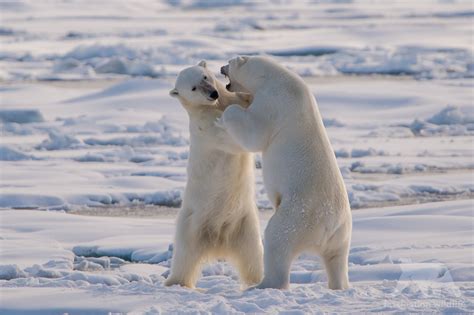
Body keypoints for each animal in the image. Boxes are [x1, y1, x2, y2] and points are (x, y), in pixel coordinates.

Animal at [166, 60, 262, 290]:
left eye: (205, 77)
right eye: (193, 88)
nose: (213, 93)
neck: (211, 107)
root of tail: (218, 241)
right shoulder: (208, 129)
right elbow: (234, 140)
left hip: (245, 226)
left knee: (252, 257)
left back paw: (257, 280)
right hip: (190, 226)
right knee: (184, 258)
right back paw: (175, 282)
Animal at [219, 55, 352, 290]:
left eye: (230, 62)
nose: (220, 67)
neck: (273, 77)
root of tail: (329, 226)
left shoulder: (274, 102)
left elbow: (255, 135)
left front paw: (228, 112)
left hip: (297, 215)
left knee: (277, 239)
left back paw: (263, 284)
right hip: (342, 235)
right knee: (337, 260)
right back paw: (339, 285)